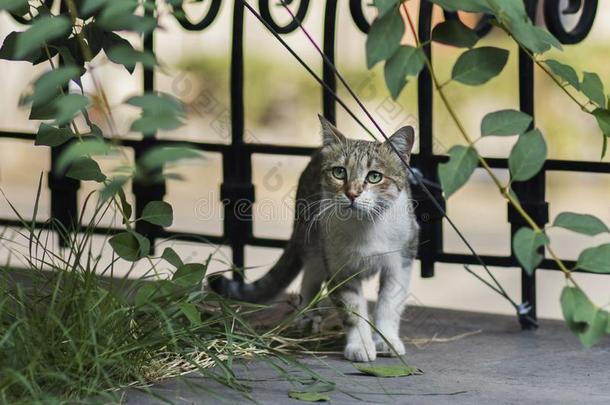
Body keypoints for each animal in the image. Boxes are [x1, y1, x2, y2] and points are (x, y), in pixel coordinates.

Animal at [210, 115, 418, 362]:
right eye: (339, 172)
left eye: (375, 176)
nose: (352, 193)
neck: (367, 227)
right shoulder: (339, 268)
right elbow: (353, 310)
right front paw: (360, 344)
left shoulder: (401, 258)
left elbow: (389, 303)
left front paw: (386, 340)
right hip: (314, 242)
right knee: (309, 276)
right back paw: (307, 316)